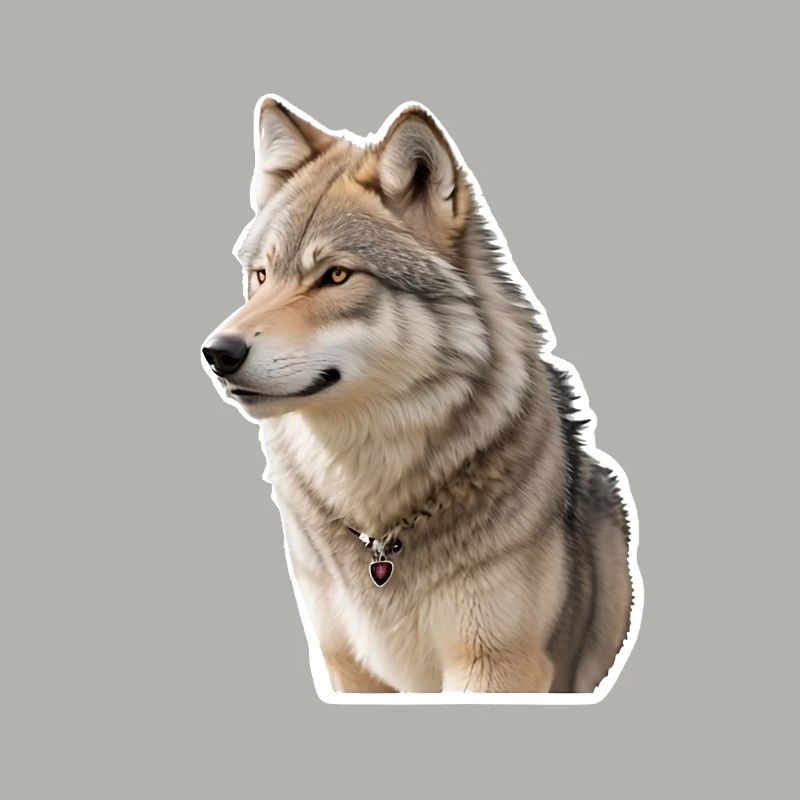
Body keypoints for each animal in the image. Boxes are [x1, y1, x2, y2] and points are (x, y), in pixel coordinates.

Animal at [201, 95, 638, 696]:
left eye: (337, 276)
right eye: (262, 276)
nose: (217, 353)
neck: (379, 523)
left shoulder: (495, 665)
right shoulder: (348, 666)